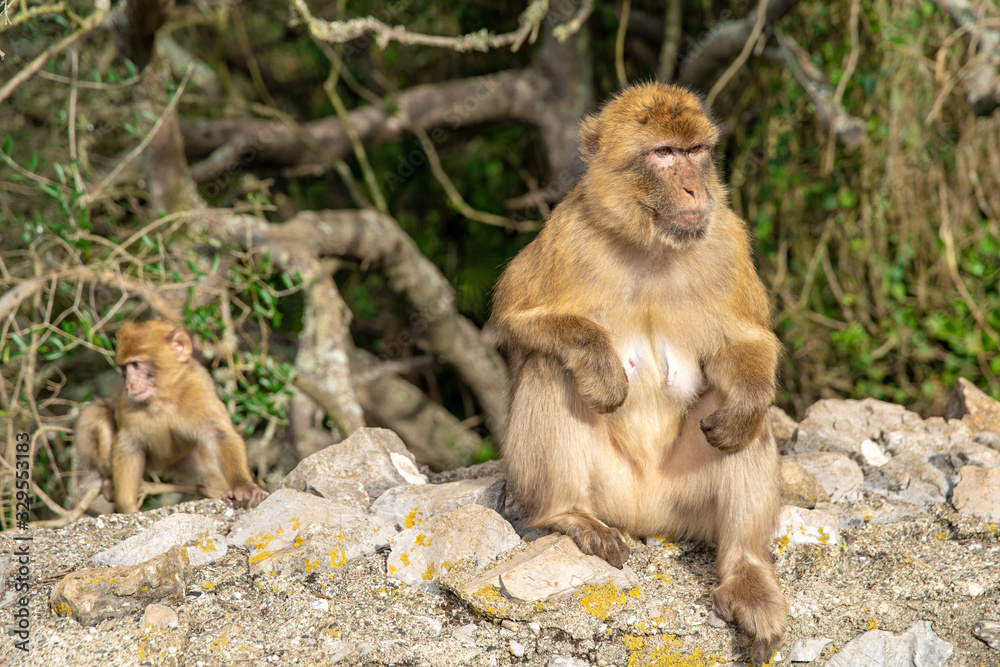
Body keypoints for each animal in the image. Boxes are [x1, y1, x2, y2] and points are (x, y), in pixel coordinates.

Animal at [74, 320, 263, 514]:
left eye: (136, 364)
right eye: (124, 368)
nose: (129, 384)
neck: (164, 397)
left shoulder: (199, 386)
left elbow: (219, 434)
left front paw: (243, 486)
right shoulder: (128, 404)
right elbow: (129, 446)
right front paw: (128, 507)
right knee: (97, 416)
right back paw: (110, 485)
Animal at [489, 82, 786, 665]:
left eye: (696, 151)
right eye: (664, 154)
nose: (696, 190)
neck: (651, 247)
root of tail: (647, 517)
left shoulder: (726, 239)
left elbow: (747, 343)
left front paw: (744, 405)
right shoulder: (568, 234)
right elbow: (517, 320)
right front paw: (602, 367)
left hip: (684, 500)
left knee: (745, 425)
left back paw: (745, 572)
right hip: (608, 489)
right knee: (550, 368)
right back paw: (567, 514)